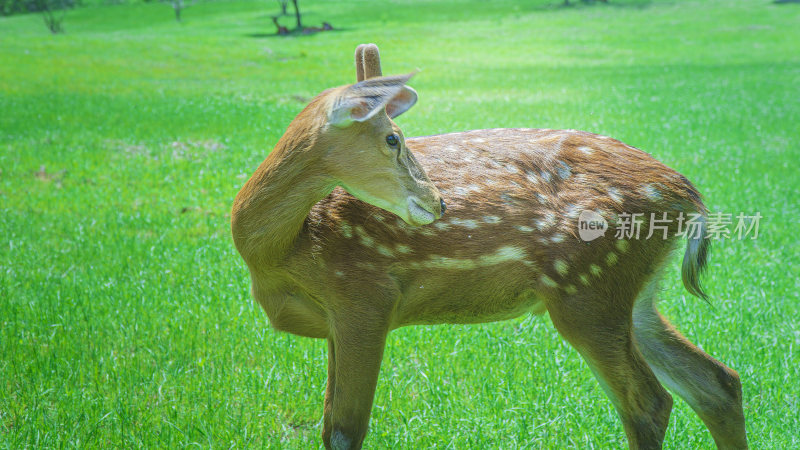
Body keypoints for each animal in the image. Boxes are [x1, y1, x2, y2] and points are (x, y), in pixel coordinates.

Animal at [231, 43, 752, 450]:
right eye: (393, 138)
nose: (438, 201)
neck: (282, 253)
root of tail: (688, 195)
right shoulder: (336, 322)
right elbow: (327, 428)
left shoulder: (363, 297)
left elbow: (343, 432)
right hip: (633, 293)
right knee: (718, 381)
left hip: (588, 286)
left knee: (650, 402)